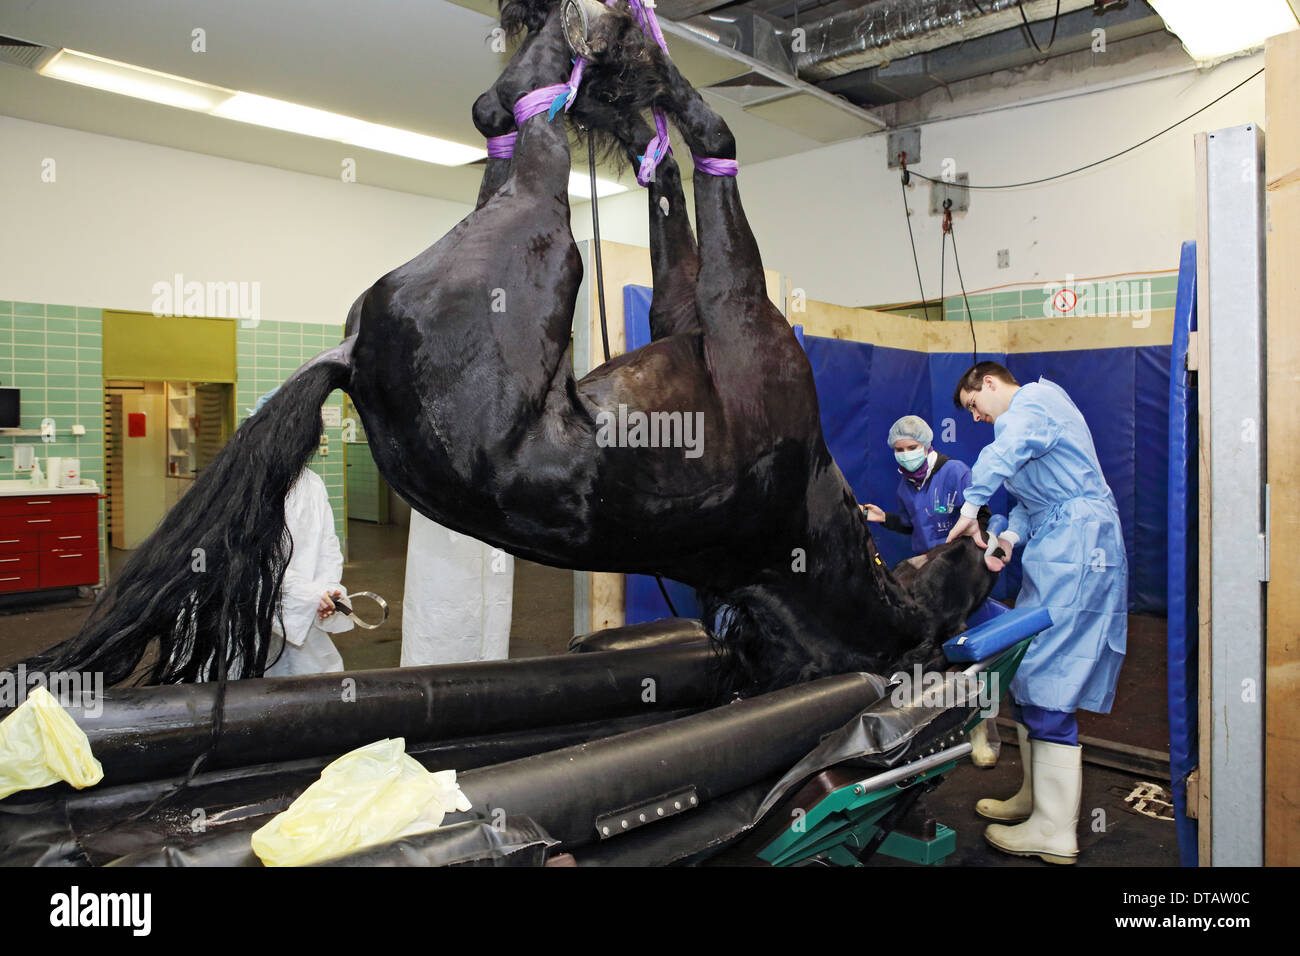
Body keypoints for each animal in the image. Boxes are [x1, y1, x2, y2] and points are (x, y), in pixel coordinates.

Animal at [20, 3, 993, 697]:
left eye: (982, 571)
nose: (987, 538)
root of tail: (352, 359)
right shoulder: (697, 317)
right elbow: (677, 199)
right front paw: (642, 128)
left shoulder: (739, 320)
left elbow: (716, 152)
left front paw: (655, 93)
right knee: (512, 115)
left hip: (546, 230)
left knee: (510, 116)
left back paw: (582, 51)